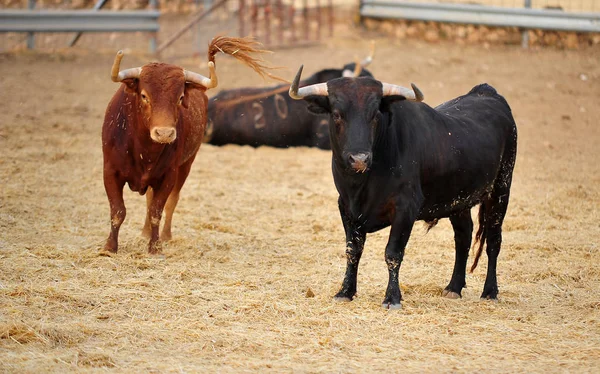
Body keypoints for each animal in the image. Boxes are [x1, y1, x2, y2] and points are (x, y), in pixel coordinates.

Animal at [102, 36, 276, 254]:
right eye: (144, 96)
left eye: (180, 98)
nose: (164, 133)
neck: (143, 148)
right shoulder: (110, 171)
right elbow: (118, 211)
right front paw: (109, 248)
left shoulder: (168, 175)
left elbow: (157, 210)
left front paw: (155, 247)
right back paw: (144, 233)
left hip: (186, 165)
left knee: (170, 201)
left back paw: (164, 236)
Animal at [290, 71, 516, 310]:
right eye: (336, 114)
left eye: (375, 115)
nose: (359, 159)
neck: (362, 185)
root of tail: (486, 92)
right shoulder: (346, 208)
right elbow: (353, 251)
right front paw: (345, 291)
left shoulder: (405, 208)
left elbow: (393, 252)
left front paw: (392, 297)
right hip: (458, 199)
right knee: (463, 236)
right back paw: (454, 287)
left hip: (501, 190)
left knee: (493, 241)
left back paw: (490, 291)